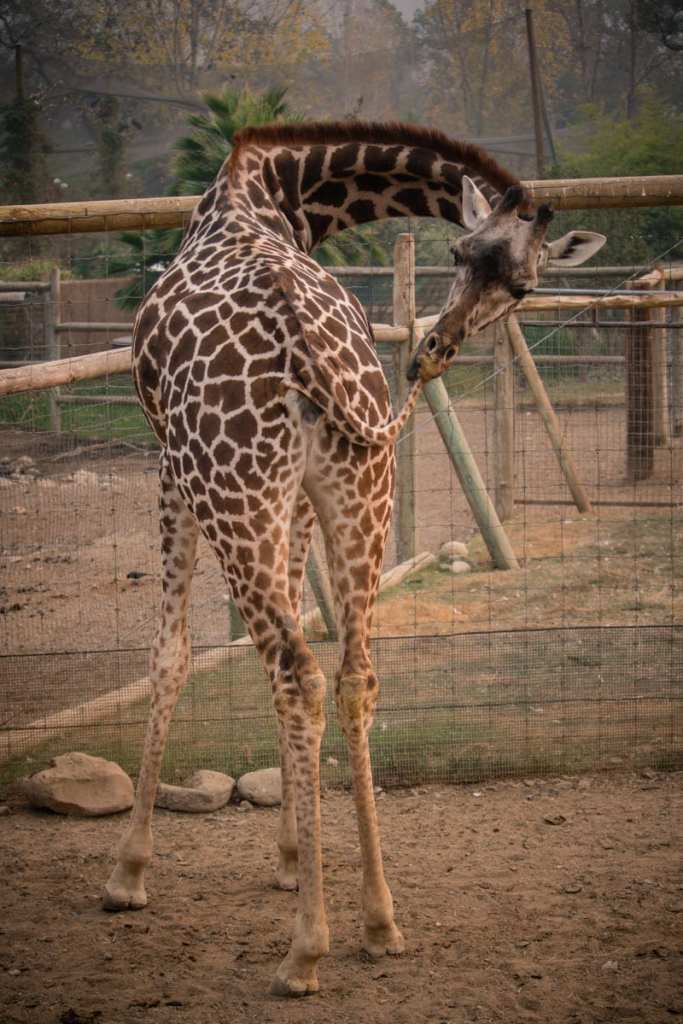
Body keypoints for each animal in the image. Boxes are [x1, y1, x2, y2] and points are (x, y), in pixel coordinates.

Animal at [101, 119, 602, 991]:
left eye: (522, 287)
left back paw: (306, 949)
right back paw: (378, 920)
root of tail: (306, 349)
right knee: (354, 674)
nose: (432, 348)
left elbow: (170, 655)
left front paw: (129, 874)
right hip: (360, 490)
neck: (273, 191)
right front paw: (290, 859)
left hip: (231, 489)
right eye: (460, 249)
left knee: (295, 673)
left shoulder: (168, 464)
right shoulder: (303, 498)